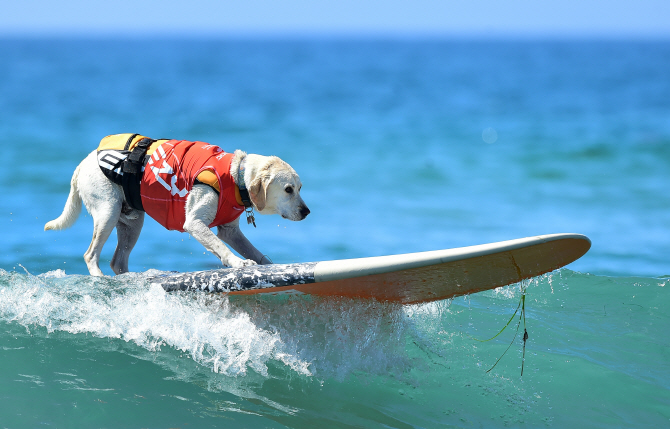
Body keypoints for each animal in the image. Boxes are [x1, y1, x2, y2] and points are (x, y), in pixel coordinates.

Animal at [46, 132, 312, 276]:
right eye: (288, 190)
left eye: (300, 188)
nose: (307, 211)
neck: (236, 176)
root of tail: (84, 162)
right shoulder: (194, 223)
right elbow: (221, 247)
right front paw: (238, 262)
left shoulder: (230, 231)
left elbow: (253, 250)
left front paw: (268, 264)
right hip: (108, 211)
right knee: (91, 254)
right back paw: (99, 276)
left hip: (132, 222)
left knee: (118, 261)